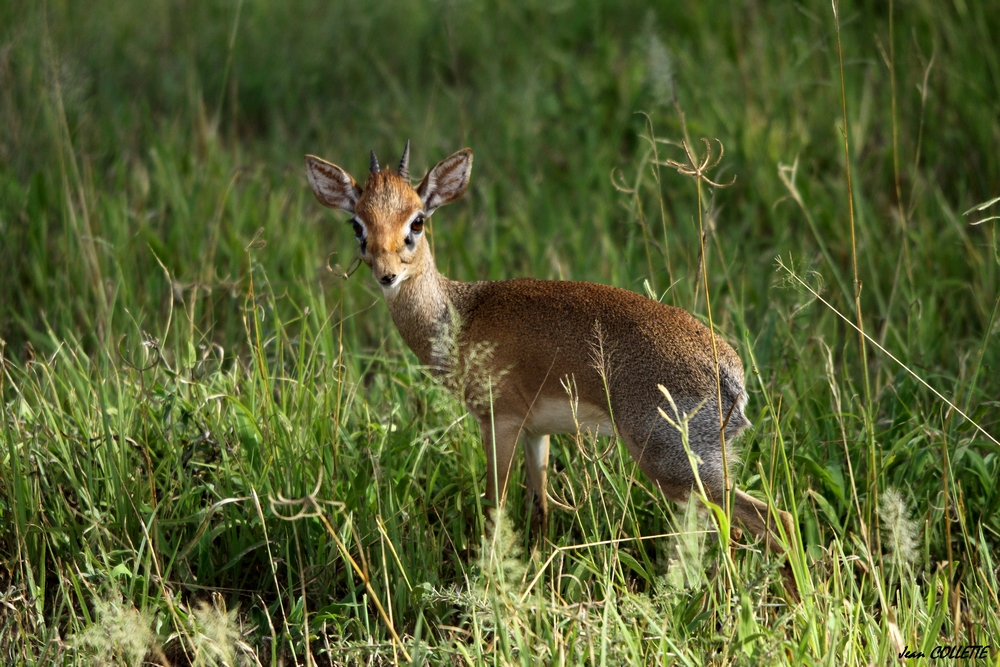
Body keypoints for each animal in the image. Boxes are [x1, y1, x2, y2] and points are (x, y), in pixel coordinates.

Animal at [308, 144, 792, 552]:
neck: (461, 313)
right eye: (357, 223)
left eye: (417, 220)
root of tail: (732, 377)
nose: (386, 273)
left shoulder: (499, 421)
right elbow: (539, 508)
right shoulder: (536, 432)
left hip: (675, 466)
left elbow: (495, 509)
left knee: (771, 520)